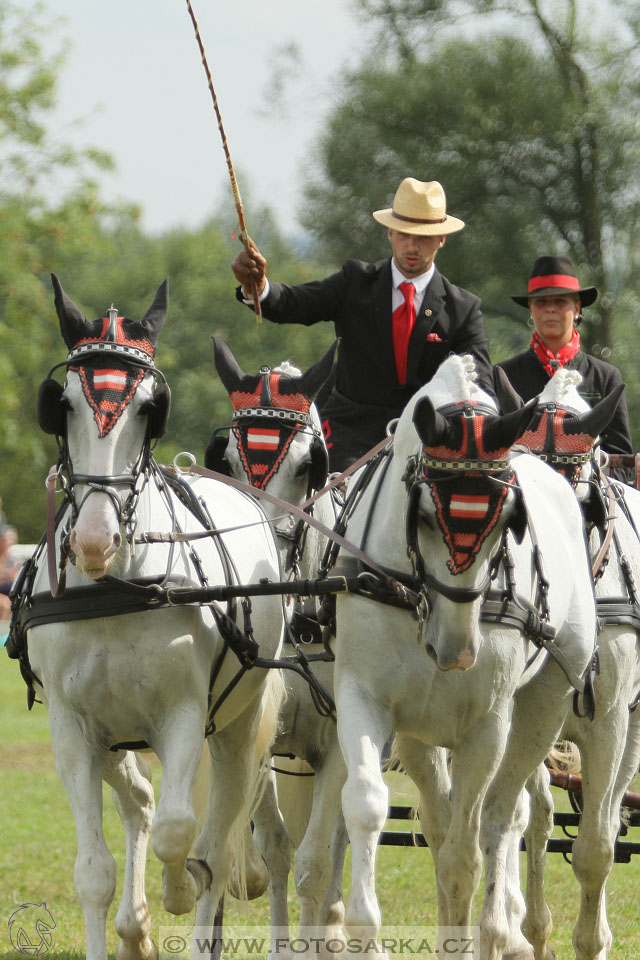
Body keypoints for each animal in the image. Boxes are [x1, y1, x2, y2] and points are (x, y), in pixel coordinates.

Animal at [13, 278, 284, 960]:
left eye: (146, 408)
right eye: (64, 405)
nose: (94, 540)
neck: (118, 588)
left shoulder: (183, 715)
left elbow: (179, 834)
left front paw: (182, 888)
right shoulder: (73, 728)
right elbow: (93, 872)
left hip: (238, 726)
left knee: (217, 833)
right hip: (114, 735)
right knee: (138, 800)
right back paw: (136, 927)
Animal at [330, 356, 600, 956]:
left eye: (508, 520)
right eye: (426, 515)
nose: (456, 651)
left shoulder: (487, 726)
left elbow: (466, 857)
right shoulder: (365, 697)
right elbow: (365, 803)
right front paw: (364, 929)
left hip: (543, 707)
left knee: (503, 817)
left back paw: (506, 929)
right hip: (420, 732)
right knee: (441, 819)